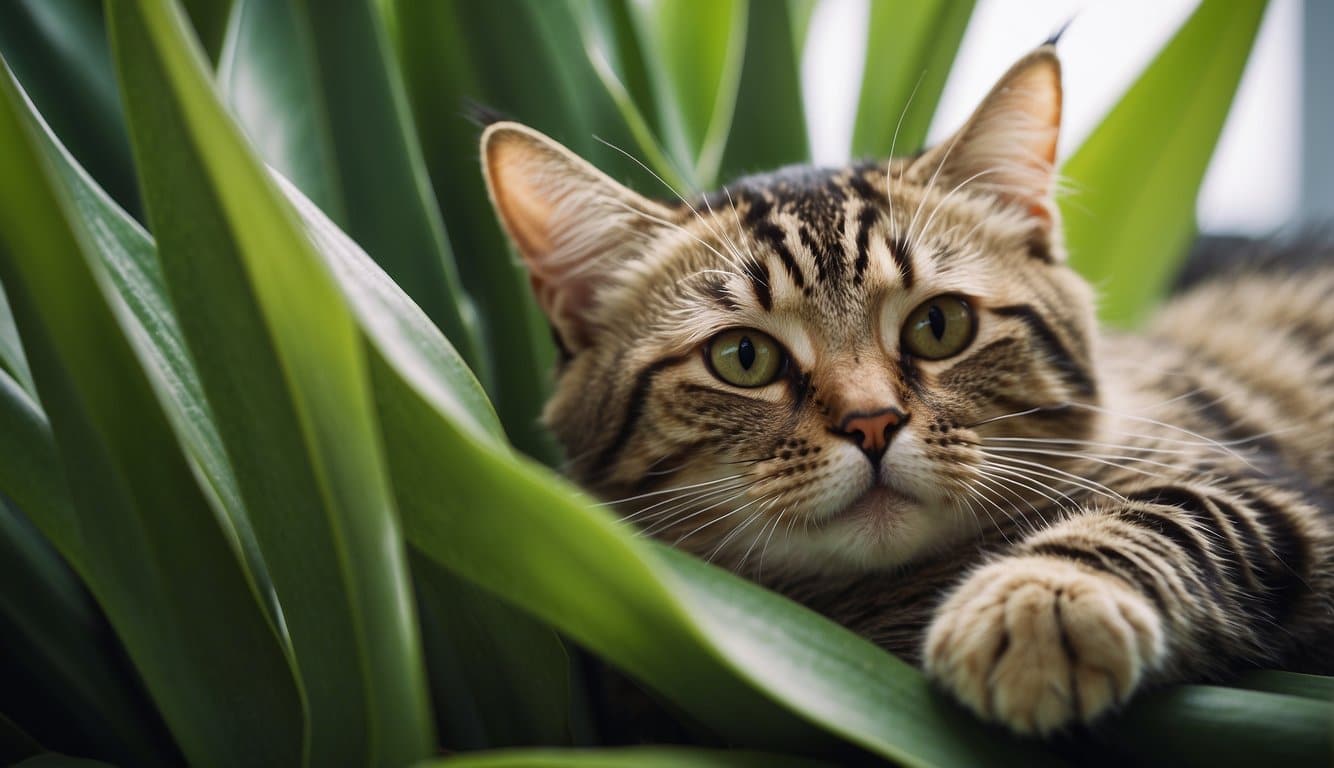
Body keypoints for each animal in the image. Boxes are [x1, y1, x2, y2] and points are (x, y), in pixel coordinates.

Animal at [474, 43, 1328, 736]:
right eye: (744, 357)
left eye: (939, 326)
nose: (873, 424)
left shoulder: (1267, 492)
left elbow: (1161, 512)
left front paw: (1039, 601)